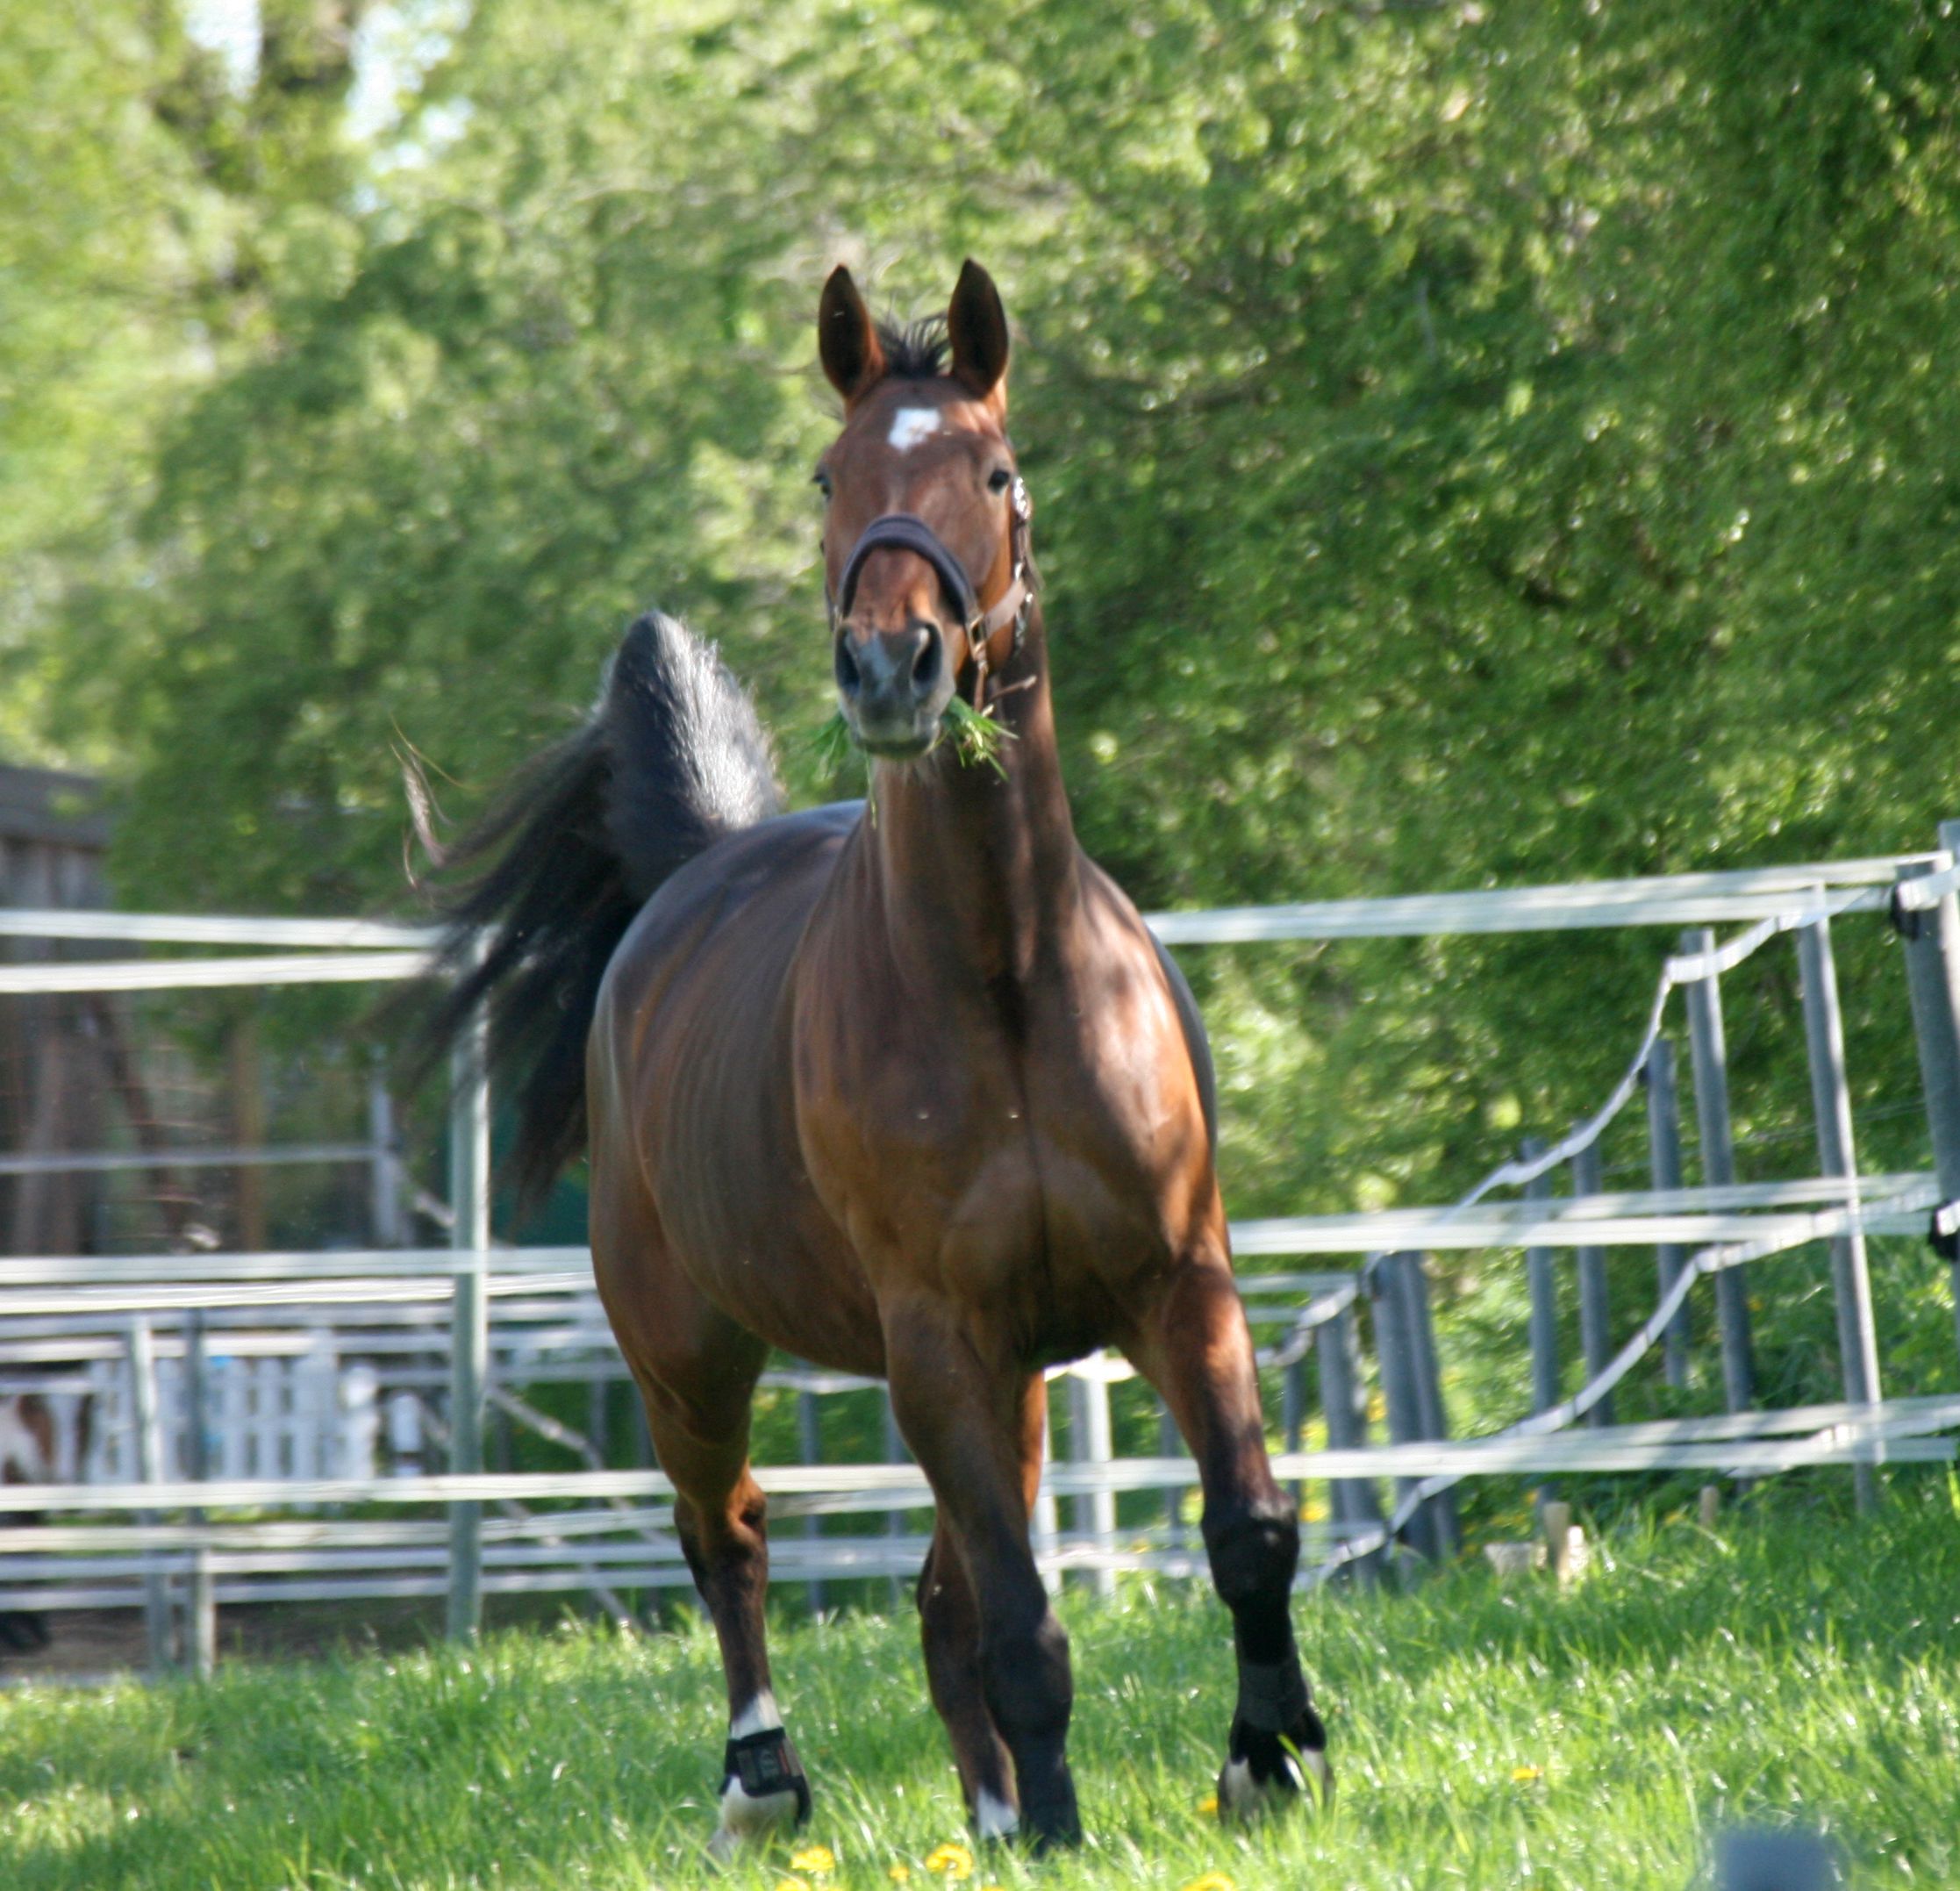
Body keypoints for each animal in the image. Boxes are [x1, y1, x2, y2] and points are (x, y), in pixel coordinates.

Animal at [423, 260, 1329, 1852]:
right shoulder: (934, 1340)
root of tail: (689, 877)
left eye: (996, 469)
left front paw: (1264, 1755)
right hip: (688, 1353)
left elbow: (1245, 1530)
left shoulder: (1177, 1284)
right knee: (728, 1538)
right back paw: (766, 1780)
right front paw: (1061, 1826)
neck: (1003, 980)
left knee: (928, 1592)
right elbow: (1022, 1619)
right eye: (826, 475)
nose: (890, 667)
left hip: (1005, 1379)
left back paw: (984, 1806)